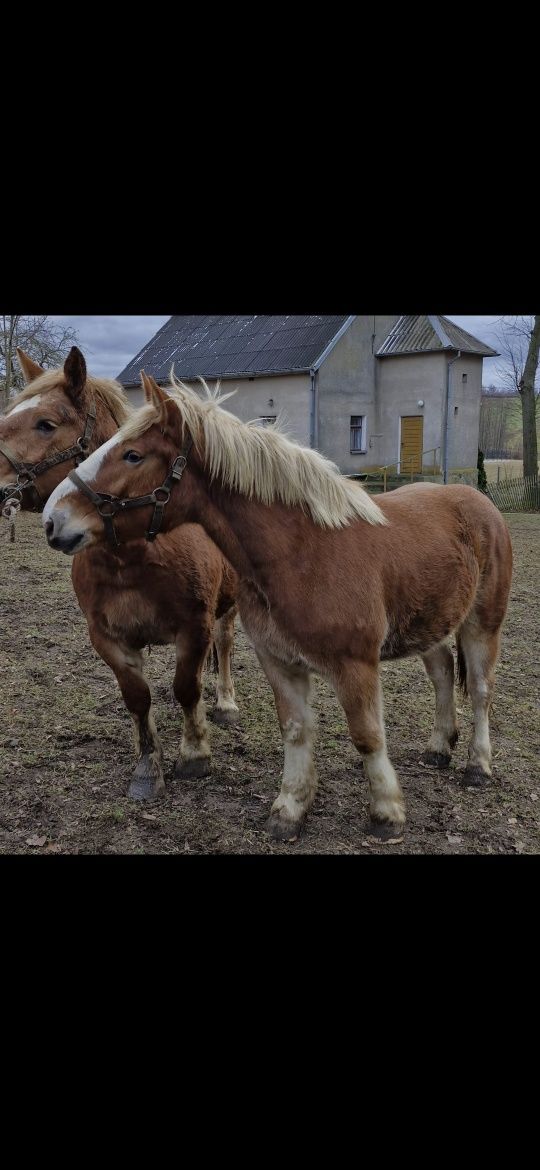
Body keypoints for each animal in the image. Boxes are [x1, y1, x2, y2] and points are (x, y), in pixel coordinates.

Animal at [1, 351, 238, 800]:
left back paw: (226, 703)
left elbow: (187, 688)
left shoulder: (194, 627)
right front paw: (147, 766)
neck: (132, 558)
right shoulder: (107, 637)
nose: (53, 523)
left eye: (45, 424)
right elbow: (137, 698)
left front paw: (194, 753)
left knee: (226, 644)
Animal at [44, 374, 511, 842]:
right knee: (443, 673)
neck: (302, 553)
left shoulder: (356, 665)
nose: (53, 520)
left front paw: (386, 814)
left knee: (482, 690)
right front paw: (290, 808)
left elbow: (367, 736)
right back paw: (438, 747)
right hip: (430, 624)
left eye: (133, 455)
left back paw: (478, 765)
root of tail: (478, 500)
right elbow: (296, 730)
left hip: (482, 625)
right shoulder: (279, 661)